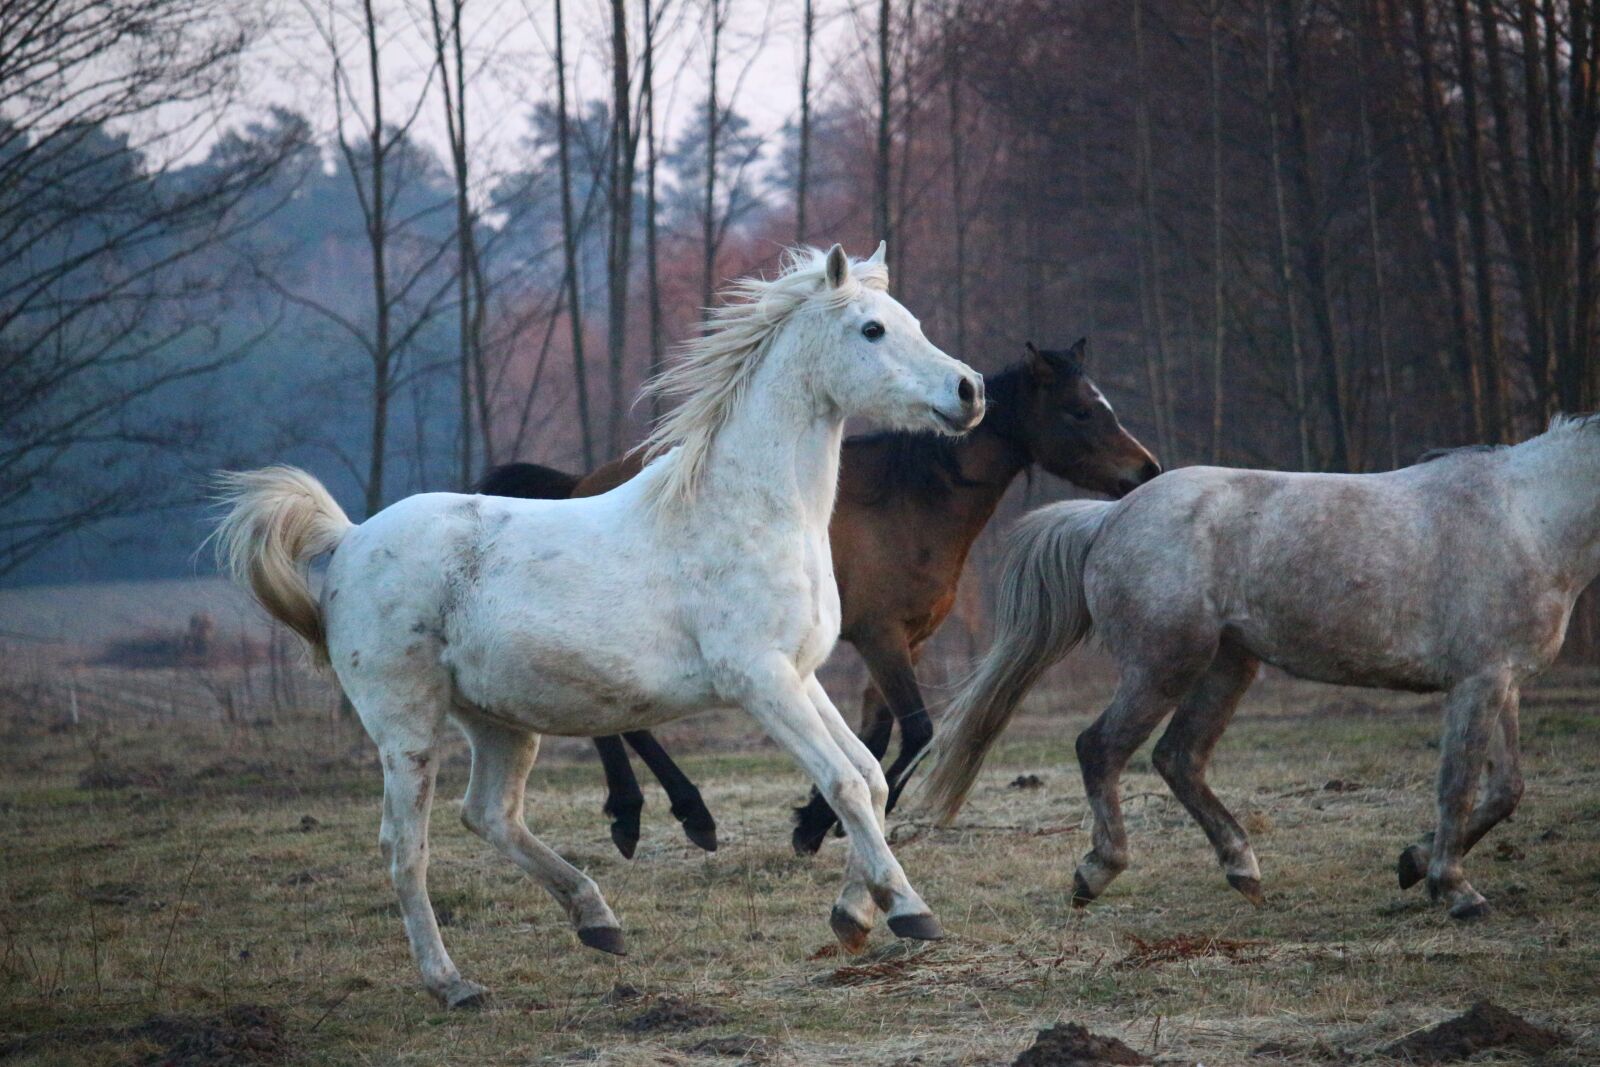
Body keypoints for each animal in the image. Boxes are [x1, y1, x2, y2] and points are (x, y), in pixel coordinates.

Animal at [211, 244, 985, 1007]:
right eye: (871, 329)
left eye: (909, 320)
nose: (969, 390)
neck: (748, 511)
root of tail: (347, 540)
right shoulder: (761, 681)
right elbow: (844, 783)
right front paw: (909, 910)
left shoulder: (801, 675)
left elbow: (868, 779)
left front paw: (853, 915)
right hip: (407, 727)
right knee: (405, 848)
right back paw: (453, 982)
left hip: (497, 720)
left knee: (490, 814)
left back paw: (597, 919)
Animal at [480, 339, 1161, 858]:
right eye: (1080, 410)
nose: (1147, 471)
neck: (909, 502)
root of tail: (582, 485)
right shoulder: (882, 638)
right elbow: (916, 730)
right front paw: (821, 823)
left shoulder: (904, 641)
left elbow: (878, 732)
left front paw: (819, 819)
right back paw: (672, 814)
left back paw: (649, 812)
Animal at [921, 417, 1600, 921]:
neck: (1525, 520)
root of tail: (1110, 516)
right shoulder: (1476, 682)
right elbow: (1457, 785)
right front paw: (1455, 890)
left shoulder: (1503, 682)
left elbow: (1507, 789)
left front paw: (1413, 861)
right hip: (1165, 665)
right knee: (1102, 747)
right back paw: (1098, 871)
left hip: (1227, 666)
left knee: (1179, 757)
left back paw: (1242, 867)